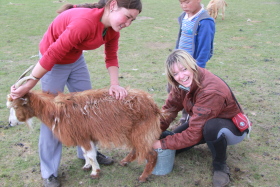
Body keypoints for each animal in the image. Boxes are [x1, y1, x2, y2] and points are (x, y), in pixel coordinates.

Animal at [6, 85, 162, 182]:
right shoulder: (84, 135)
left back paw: (142, 177)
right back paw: (124, 162)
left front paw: (95, 173)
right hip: (134, 132)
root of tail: (152, 104)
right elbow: (86, 153)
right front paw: (87, 166)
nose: (10, 122)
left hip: (141, 132)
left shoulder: (82, 136)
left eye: (16, 107)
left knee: (152, 154)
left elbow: (91, 154)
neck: (56, 110)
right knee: (137, 149)